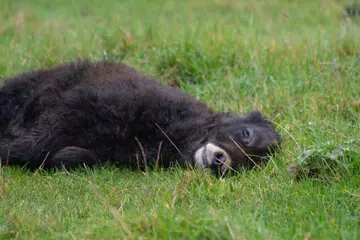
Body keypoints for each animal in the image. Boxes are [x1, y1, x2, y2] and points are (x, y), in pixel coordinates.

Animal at [0, 61, 282, 175]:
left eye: (250, 165)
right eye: (246, 133)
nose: (220, 163)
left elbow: (75, 156)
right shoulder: (73, 108)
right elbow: (30, 145)